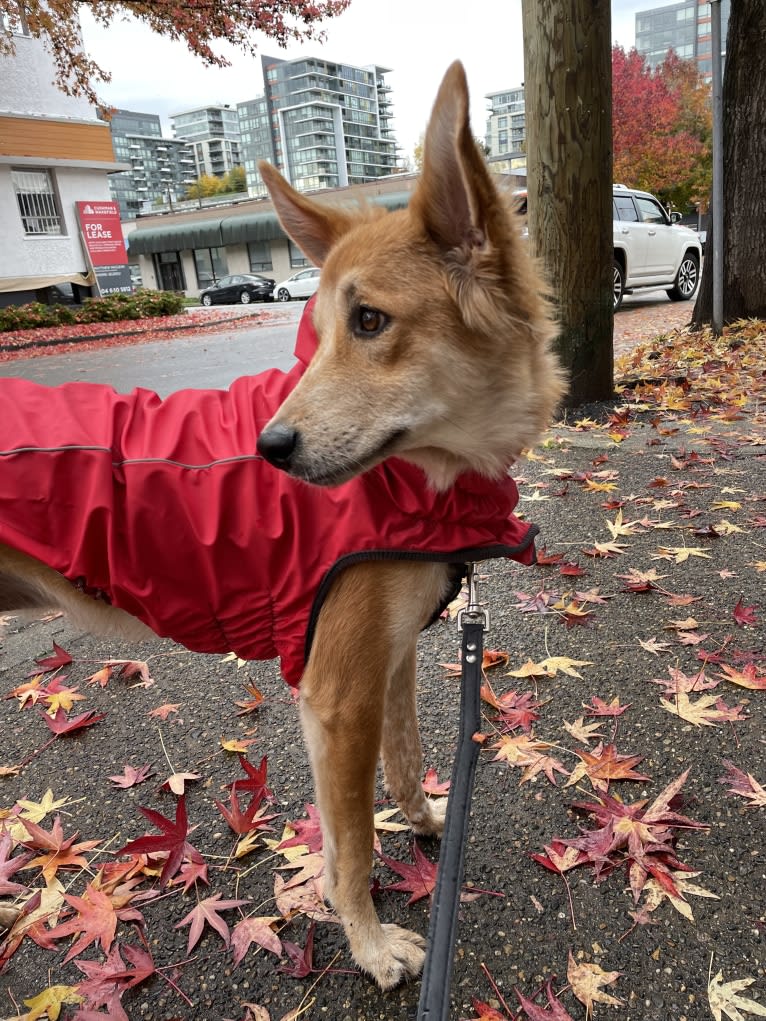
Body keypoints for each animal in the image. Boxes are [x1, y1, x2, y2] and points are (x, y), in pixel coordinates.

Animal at [0, 59, 563, 984]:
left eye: (367, 321)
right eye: (321, 330)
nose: (269, 449)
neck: (425, 479)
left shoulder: (392, 660)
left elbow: (405, 763)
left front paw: (427, 823)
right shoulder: (336, 696)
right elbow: (351, 847)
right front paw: (370, 943)